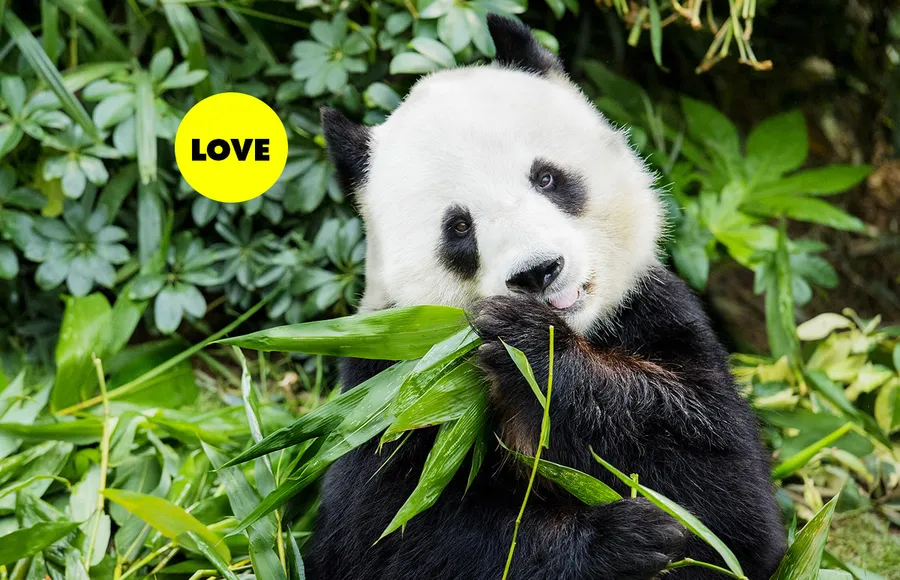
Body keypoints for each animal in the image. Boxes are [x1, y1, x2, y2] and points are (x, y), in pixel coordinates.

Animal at [306, 14, 786, 580]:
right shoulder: (390, 383)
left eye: (547, 177)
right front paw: (621, 540)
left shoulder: (654, 315)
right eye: (459, 226)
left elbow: (726, 501)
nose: (538, 272)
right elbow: (385, 534)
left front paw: (531, 349)